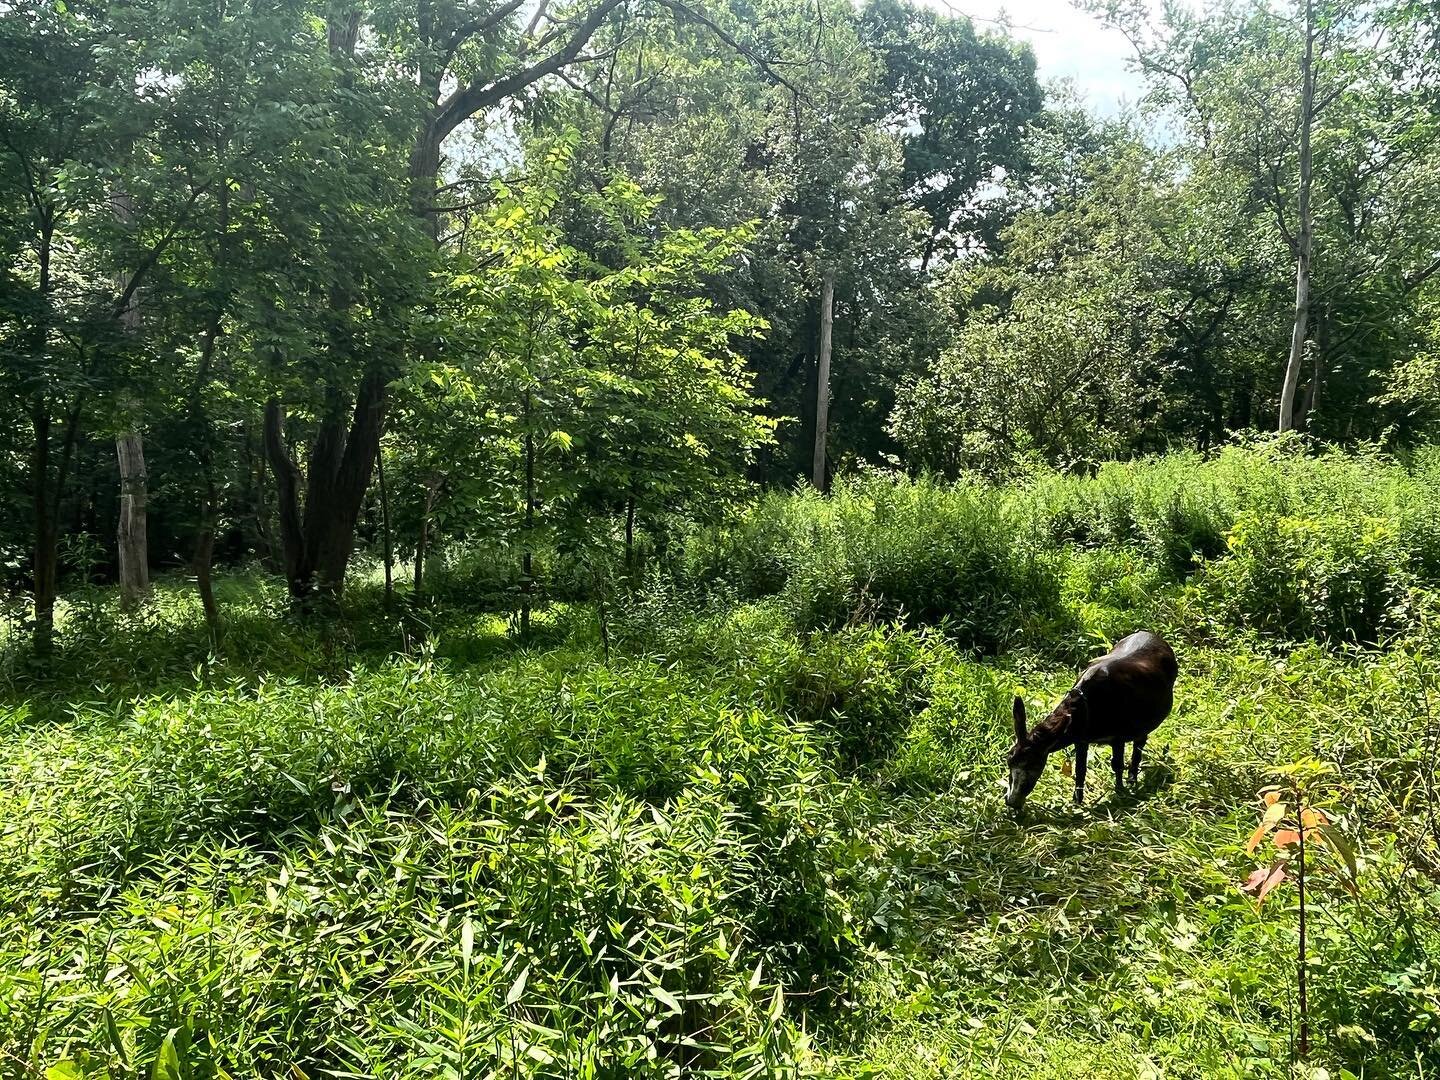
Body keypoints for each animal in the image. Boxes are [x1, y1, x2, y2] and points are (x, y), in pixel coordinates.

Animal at [1008, 633, 1175, 812]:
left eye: (1033, 765)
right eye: (1008, 760)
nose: (1011, 801)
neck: (1088, 709)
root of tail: (1154, 636)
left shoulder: (1118, 735)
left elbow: (1117, 764)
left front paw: (1120, 793)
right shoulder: (1081, 738)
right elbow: (1080, 769)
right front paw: (1077, 802)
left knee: (1140, 743)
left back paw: (1132, 780)